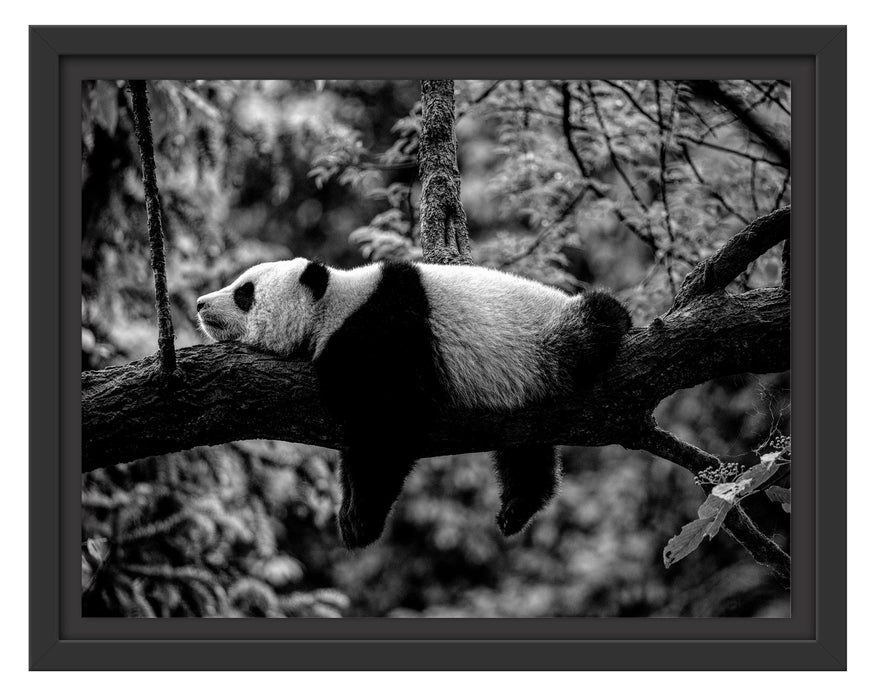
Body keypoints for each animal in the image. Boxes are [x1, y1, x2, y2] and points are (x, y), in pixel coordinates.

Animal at [197, 258, 631, 549]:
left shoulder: (386, 333)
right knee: (525, 451)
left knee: (592, 325)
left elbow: (390, 426)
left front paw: (361, 520)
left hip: (545, 337)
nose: (201, 303)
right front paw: (349, 513)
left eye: (244, 292)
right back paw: (518, 507)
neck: (334, 303)